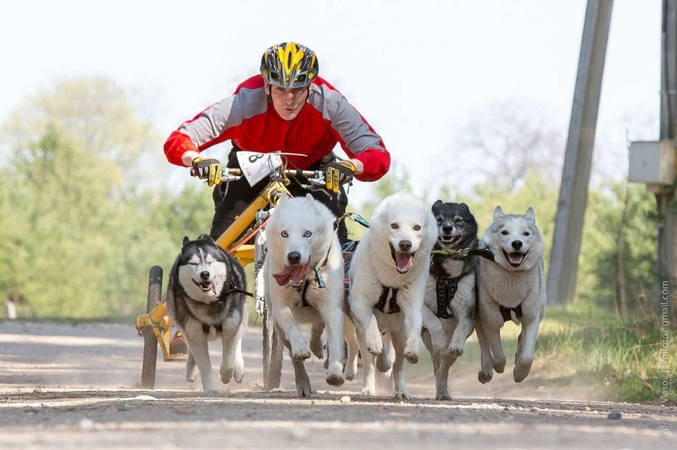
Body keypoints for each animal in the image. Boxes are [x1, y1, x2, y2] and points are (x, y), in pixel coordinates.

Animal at [264, 194, 348, 398]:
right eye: (284, 234)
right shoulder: (281, 307)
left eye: (307, 234)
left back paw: (317, 347)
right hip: (278, 329)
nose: (293, 256)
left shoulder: (332, 308)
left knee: (318, 327)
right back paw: (303, 382)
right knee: (292, 353)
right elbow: (292, 327)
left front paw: (335, 372)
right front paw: (301, 348)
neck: (306, 279)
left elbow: (335, 341)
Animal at [346, 192, 436, 400]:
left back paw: (401, 389)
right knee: (369, 361)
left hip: (398, 333)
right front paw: (375, 344)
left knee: (398, 366)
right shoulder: (359, 302)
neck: (391, 280)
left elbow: (416, 324)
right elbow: (370, 321)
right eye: (394, 225)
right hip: (360, 332)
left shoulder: (412, 307)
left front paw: (413, 349)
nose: (405, 244)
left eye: (417, 227)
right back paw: (369, 384)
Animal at [472, 206, 548, 384]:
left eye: (525, 233)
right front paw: (498, 367)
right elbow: (499, 355)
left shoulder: (532, 316)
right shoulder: (490, 320)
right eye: (505, 232)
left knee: (522, 338)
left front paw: (520, 373)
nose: (517, 243)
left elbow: (528, 356)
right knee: (484, 345)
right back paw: (487, 370)